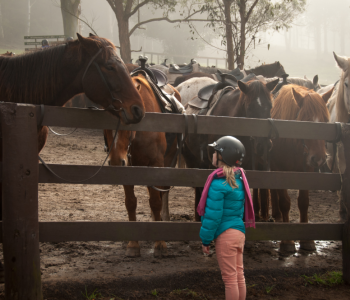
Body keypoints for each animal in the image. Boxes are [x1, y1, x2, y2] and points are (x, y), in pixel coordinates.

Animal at [104, 73, 180, 258]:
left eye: (129, 120)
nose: (115, 162)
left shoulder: (156, 165)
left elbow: (156, 202)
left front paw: (160, 243)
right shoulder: (128, 168)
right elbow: (131, 203)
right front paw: (133, 244)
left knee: (162, 193)